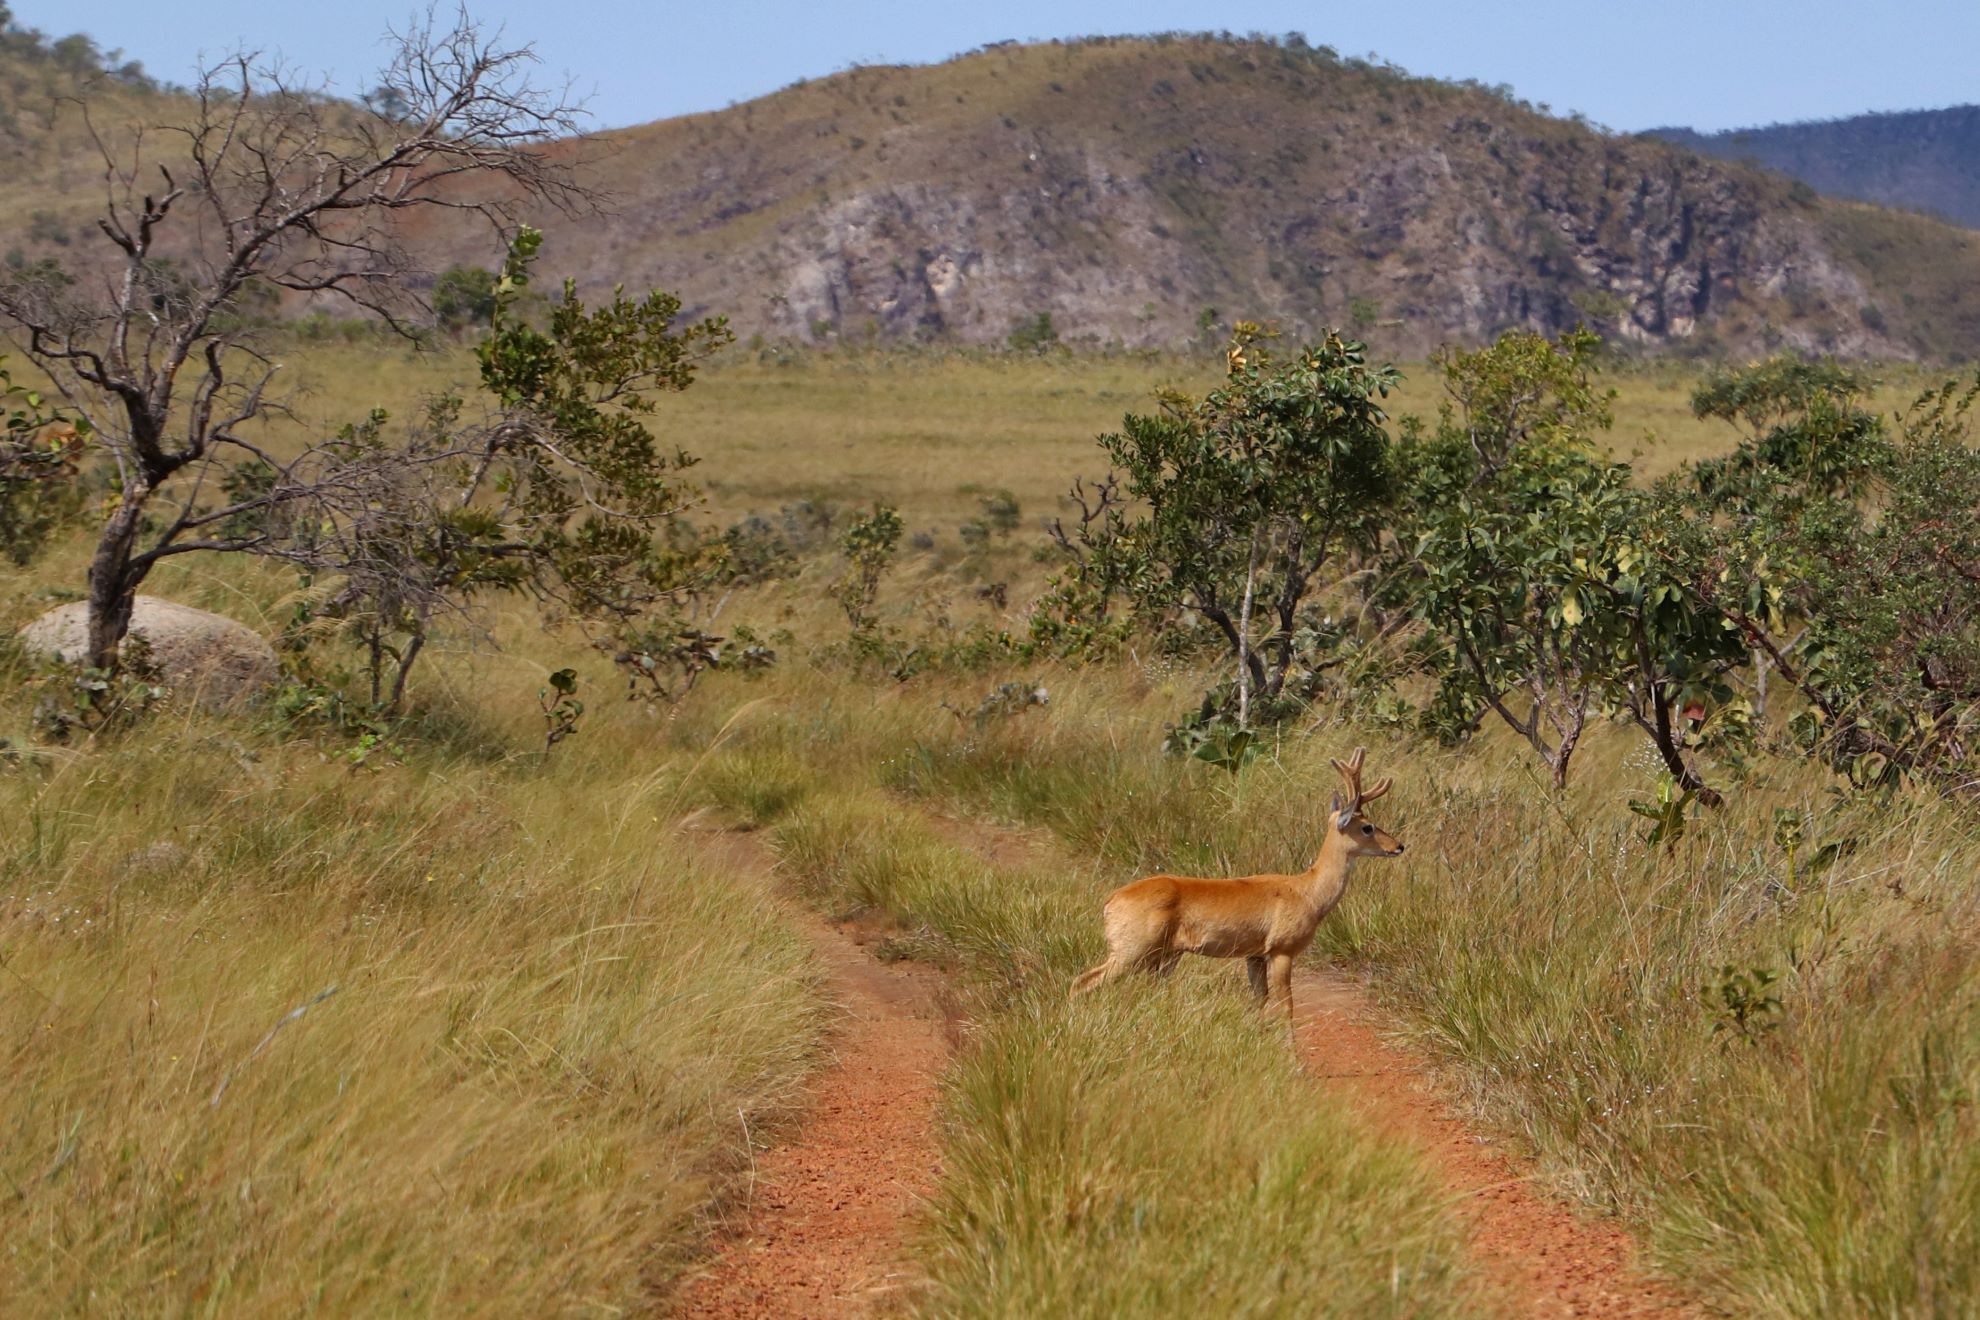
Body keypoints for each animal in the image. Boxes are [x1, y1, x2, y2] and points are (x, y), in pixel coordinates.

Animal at [1069, 747, 1404, 1027]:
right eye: (1367, 826)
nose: (1399, 845)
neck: (1308, 893)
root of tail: (1110, 902)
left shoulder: (1253, 954)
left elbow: (1258, 1003)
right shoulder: (1281, 948)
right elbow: (1285, 1008)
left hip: (1162, 955)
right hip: (1132, 947)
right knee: (1082, 981)